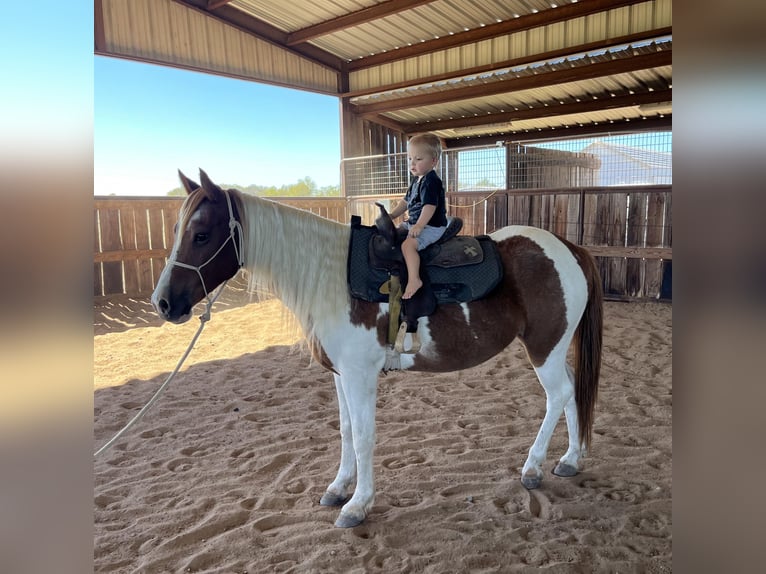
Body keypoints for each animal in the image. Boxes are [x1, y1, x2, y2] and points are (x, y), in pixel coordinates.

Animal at [152, 170, 608, 532]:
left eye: (201, 234)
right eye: (176, 231)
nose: (163, 303)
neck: (331, 278)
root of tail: (570, 248)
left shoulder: (360, 376)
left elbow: (364, 436)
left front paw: (357, 506)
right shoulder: (341, 376)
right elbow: (345, 431)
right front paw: (339, 488)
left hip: (544, 347)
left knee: (558, 396)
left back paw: (532, 467)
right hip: (554, 349)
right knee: (571, 393)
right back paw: (570, 459)